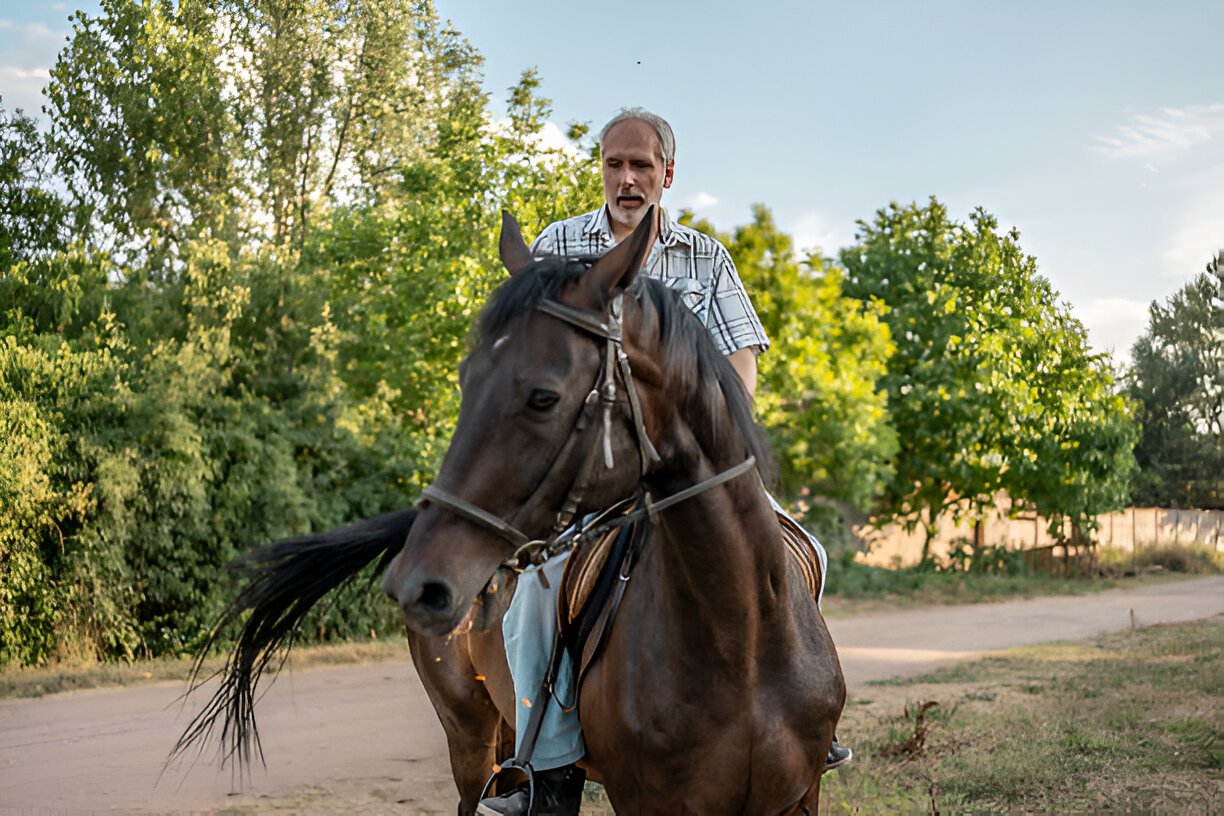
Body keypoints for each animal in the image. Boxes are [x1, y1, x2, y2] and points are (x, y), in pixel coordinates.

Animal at [176, 208, 845, 814]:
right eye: (467, 380)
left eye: (543, 397)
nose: (418, 584)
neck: (742, 637)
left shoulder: (798, 798)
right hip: (469, 735)